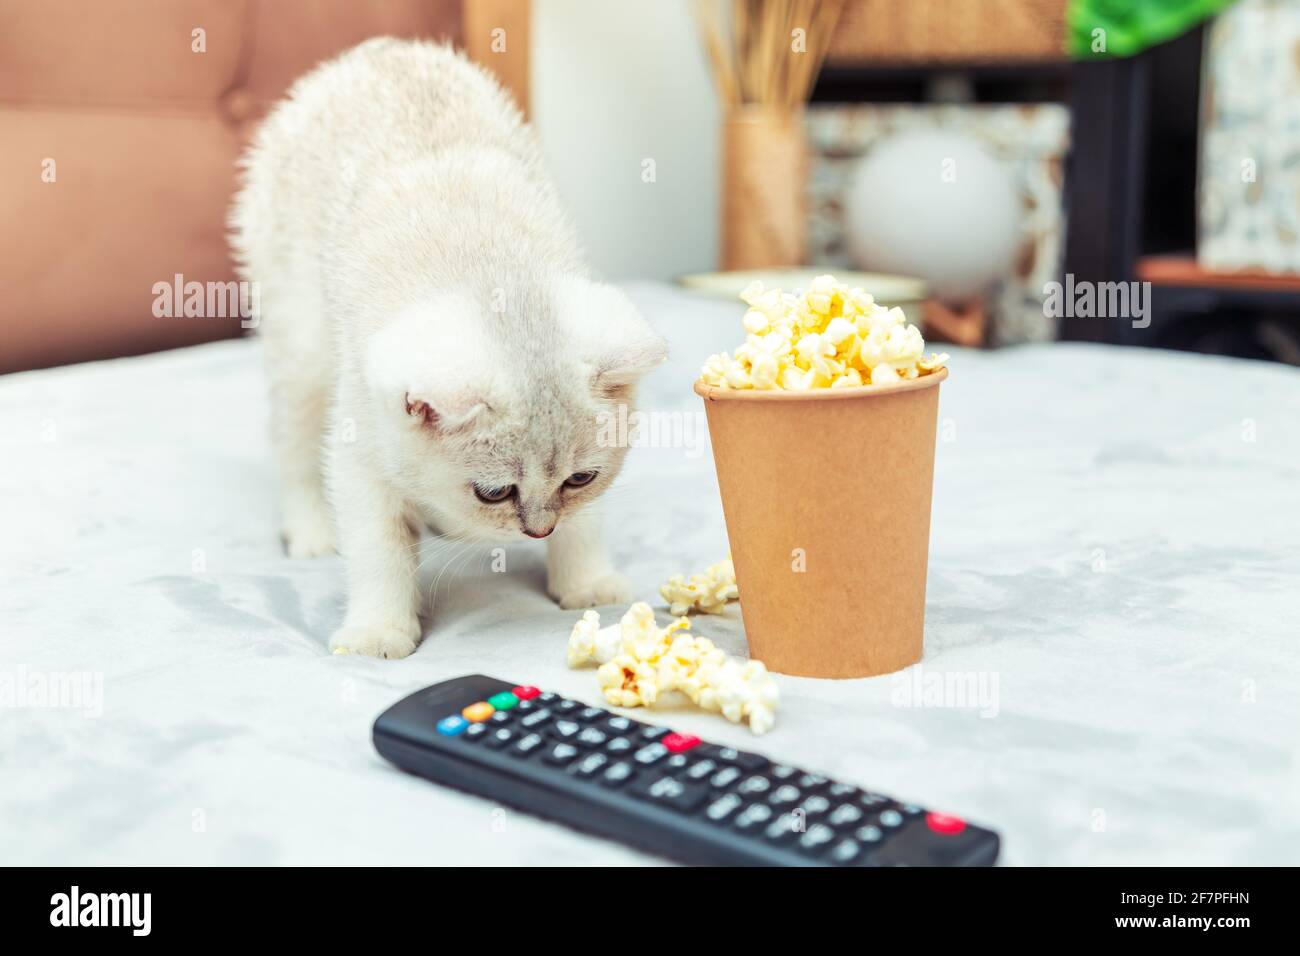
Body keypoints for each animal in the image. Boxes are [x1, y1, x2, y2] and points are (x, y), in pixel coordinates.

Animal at [227, 41, 665, 660]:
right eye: (494, 491)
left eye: (579, 479)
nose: (540, 530)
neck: (491, 271)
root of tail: (377, 50)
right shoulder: (362, 435)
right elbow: (378, 543)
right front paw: (379, 630)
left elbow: (588, 521)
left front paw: (587, 580)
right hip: (300, 338)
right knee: (293, 440)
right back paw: (311, 529)